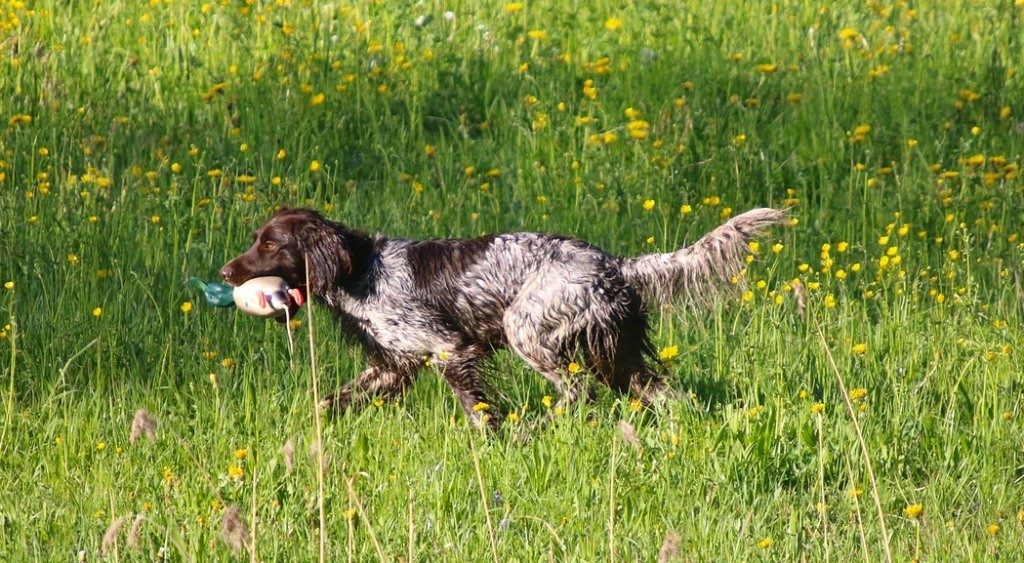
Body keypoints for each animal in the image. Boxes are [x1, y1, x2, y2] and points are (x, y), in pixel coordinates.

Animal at [222, 207, 782, 427]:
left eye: (270, 244)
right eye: (256, 239)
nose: (227, 271)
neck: (361, 270)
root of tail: (615, 264)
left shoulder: (448, 349)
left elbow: (478, 409)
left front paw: (499, 437)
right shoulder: (392, 366)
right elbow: (330, 401)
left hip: (526, 329)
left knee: (577, 390)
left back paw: (546, 425)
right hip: (618, 356)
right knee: (662, 392)